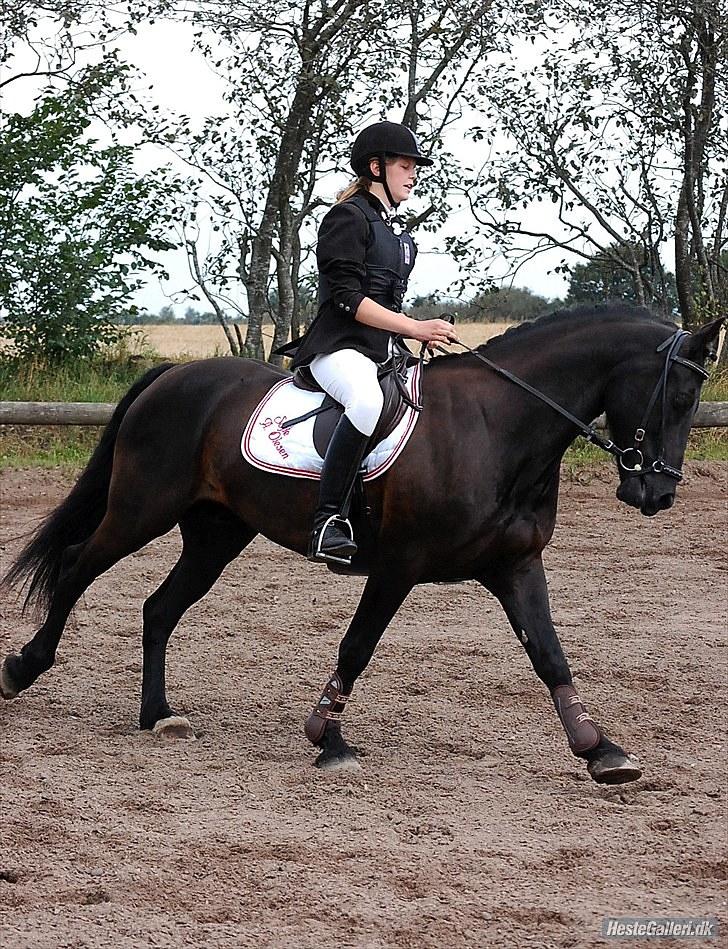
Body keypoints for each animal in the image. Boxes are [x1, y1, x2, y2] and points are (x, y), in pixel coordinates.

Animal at [0, 308, 724, 780]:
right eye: (681, 394)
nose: (657, 493)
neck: (497, 427)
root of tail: (172, 374)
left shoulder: (516, 565)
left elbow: (549, 654)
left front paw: (600, 749)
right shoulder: (398, 567)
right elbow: (357, 645)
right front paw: (328, 737)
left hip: (216, 534)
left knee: (159, 607)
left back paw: (158, 715)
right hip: (141, 510)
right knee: (77, 566)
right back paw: (23, 668)